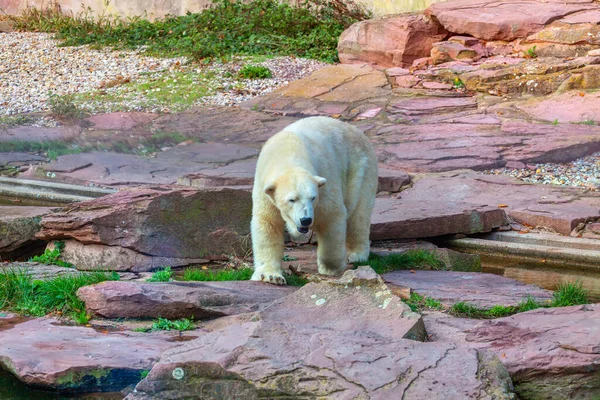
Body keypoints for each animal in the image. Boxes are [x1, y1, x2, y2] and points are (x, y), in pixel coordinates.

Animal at [251, 115, 378, 284]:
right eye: (292, 200)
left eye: (312, 198)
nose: (305, 220)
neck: (288, 153)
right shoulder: (264, 189)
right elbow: (268, 223)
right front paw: (271, 276)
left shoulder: (325, 182)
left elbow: (331, 216)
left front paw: (330, 268)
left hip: (360, 168)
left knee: (359, 214)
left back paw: (357, 255)